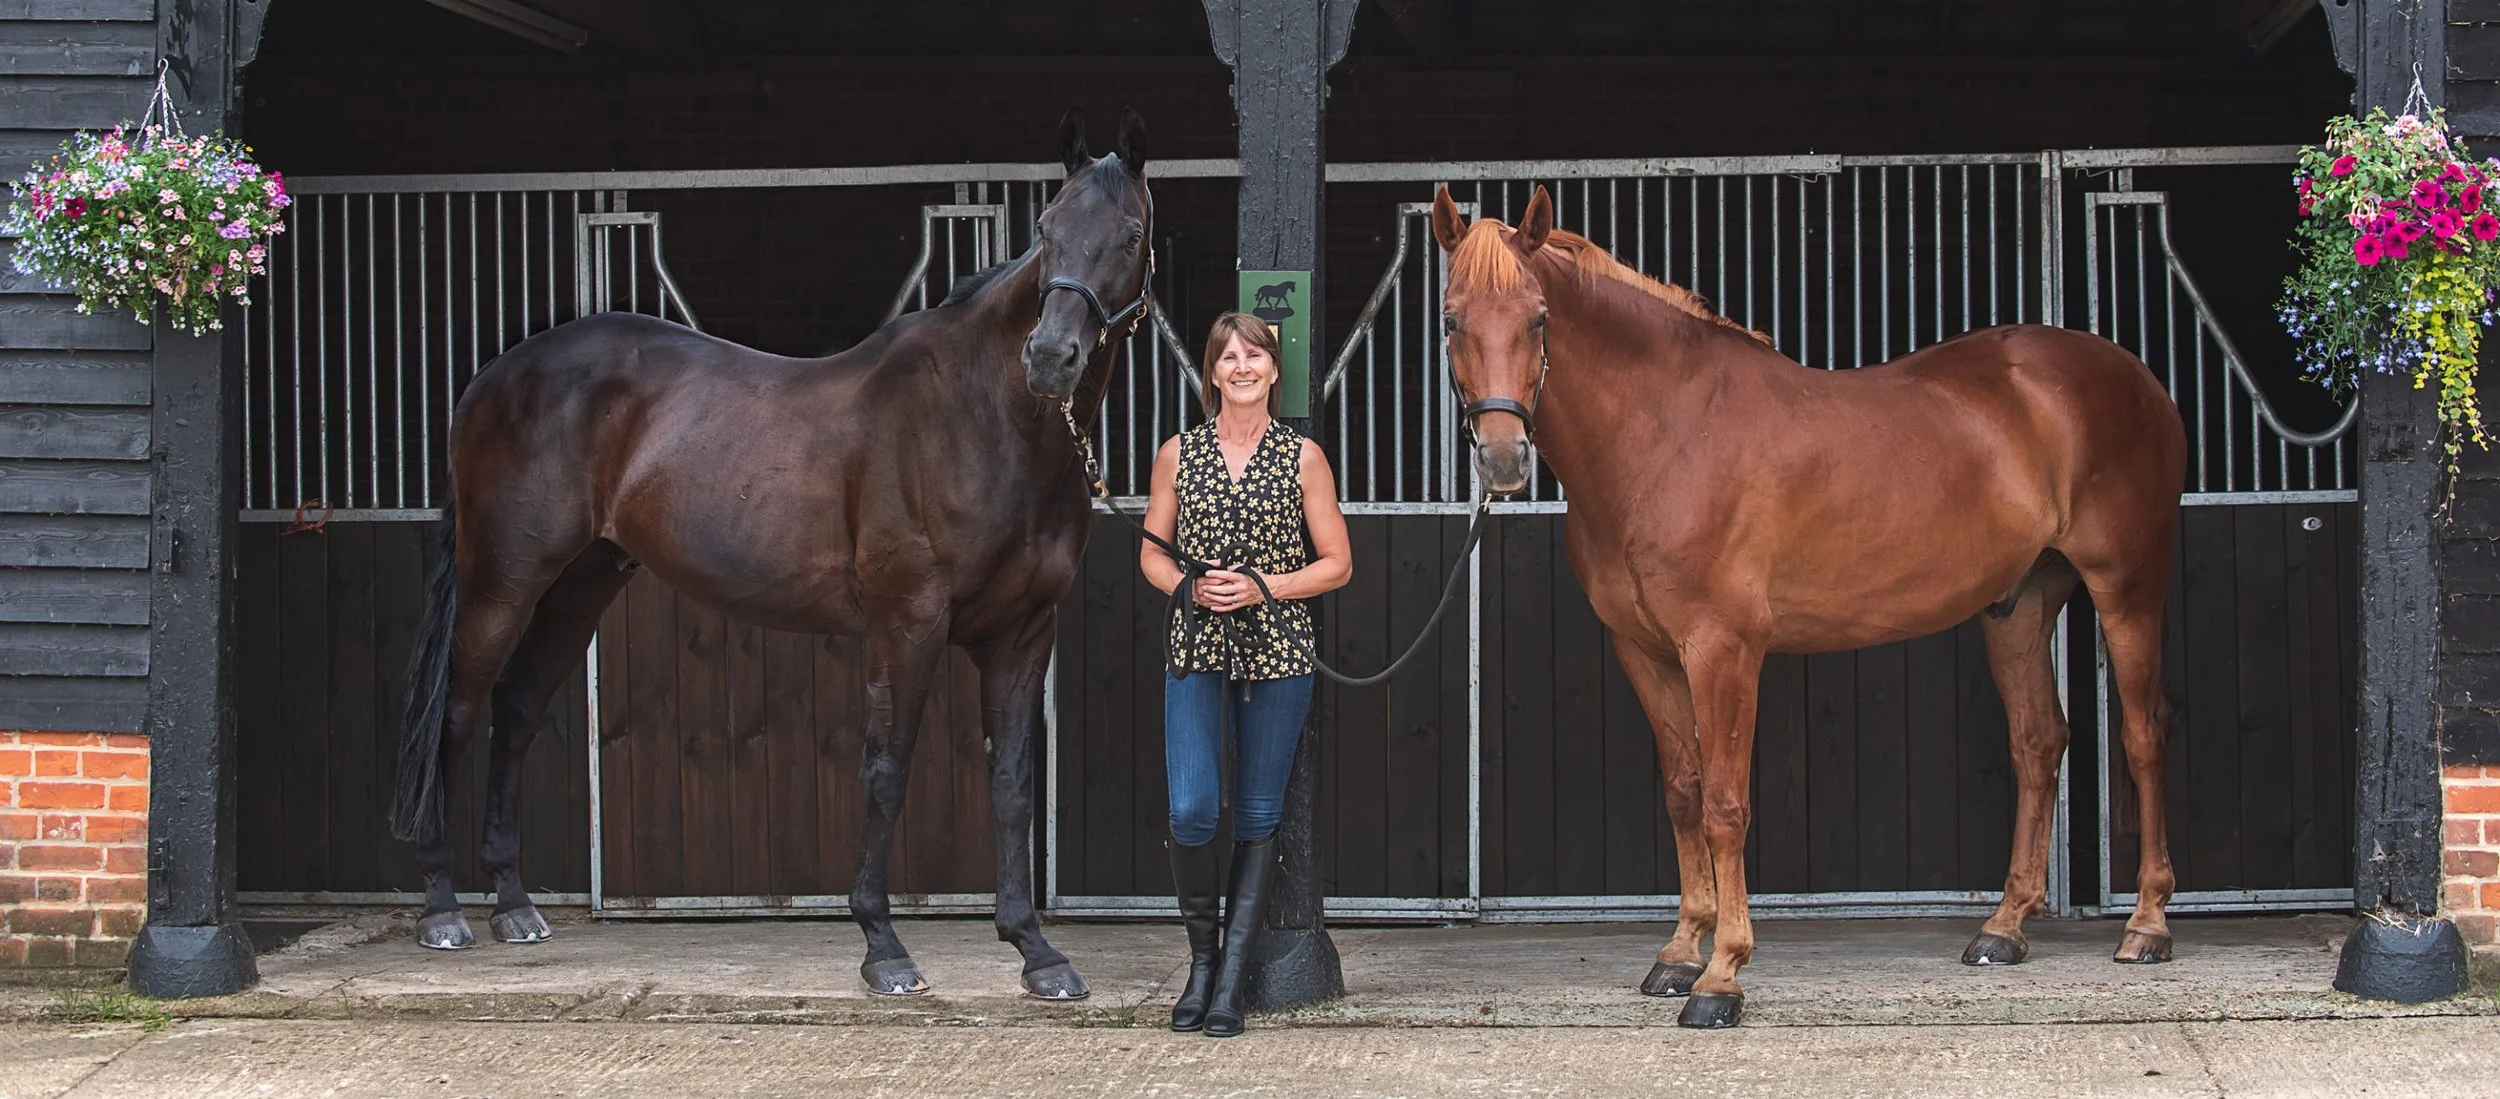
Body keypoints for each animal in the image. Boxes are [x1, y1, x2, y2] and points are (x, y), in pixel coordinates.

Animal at [388, 106, 1158, 1001]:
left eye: (1130, 233)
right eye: (1046, 228)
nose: (1049, 358)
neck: (984, 419)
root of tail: (491, 378)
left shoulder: (1023, 632)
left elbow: (1012, 786)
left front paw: (1037, 951)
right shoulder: (907, 622)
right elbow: (886, 771)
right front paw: (883, 946)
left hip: (580, 582)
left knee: (515, 707)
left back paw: (514, 905)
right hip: (503, 578)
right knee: (459, 710)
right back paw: (444, 910)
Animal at [1428, 185, 2186, 1028]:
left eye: (1539, 318)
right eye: (1452, 319)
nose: (1503, 460)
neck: (1668, 432)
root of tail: (2136, 376)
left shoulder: (1723, 647)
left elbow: (1726, 802)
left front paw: (1722, 975)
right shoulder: (1645, 650)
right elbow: (1684, 793)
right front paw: (1679, 951)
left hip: (2127, 587)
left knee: (2144, 737)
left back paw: (2147, 925)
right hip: (2019, 605)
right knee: (2038, 742)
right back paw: (2005, 926)